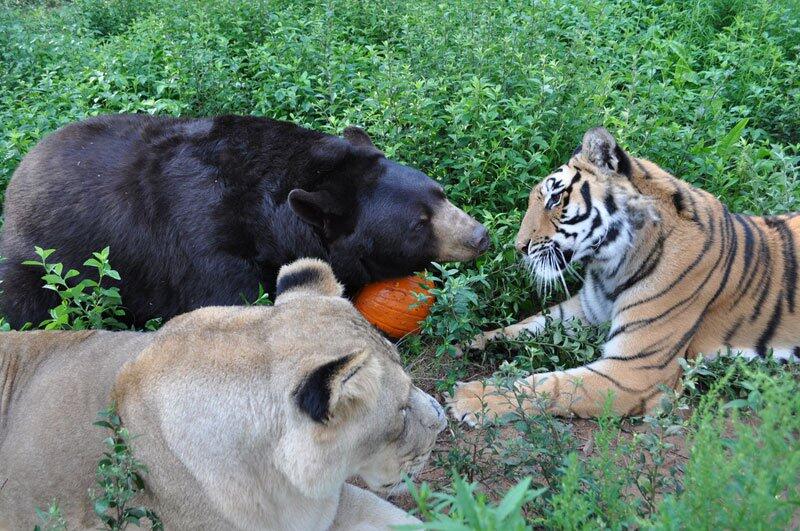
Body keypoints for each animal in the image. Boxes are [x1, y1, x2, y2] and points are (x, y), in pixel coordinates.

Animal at [0, 114, 488, 326]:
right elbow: (230, 303)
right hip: (38, 263)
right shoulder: (205, 244)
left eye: (440, 193)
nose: (479, 236)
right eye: (418, 222)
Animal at [450, 127, 800, 422]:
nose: (518, 247)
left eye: (555, 198)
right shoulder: (585, 309)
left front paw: (474, 397)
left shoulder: (636, 371)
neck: (610, 266)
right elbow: (527, 324)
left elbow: (553, 385)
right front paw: (470, 341)